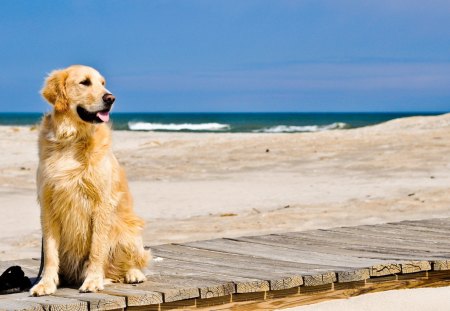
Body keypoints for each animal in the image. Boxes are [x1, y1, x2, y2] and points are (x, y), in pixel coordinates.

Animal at [29, 64, 150, 296]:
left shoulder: (101, 203)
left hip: (128, 230)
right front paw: (46, 283)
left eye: (103, 83)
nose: (111, 98)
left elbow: (97, 248)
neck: (71, 139)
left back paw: (133, 274)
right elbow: (49, 252)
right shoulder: (48, 205)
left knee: (131, 261)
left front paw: (93, 280)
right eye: (84, 82)